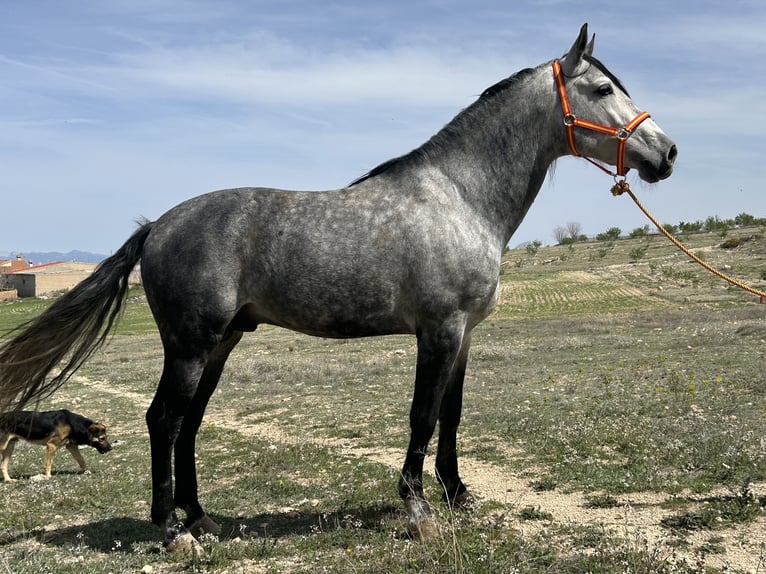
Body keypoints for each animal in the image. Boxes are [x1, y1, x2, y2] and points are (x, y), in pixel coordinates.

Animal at [0, 23, 680, 552]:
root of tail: (156, 227)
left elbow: (452, 415)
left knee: (188, 423)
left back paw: (200, 518)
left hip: (220, 345)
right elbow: (422, 416)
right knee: (164, 420)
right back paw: (172, 531)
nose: (667, 152)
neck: (460, 198)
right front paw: (419, 510)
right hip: (191, 346)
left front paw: (458, 494)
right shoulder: (438, 331)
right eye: (602, 90)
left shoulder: (463, 337)